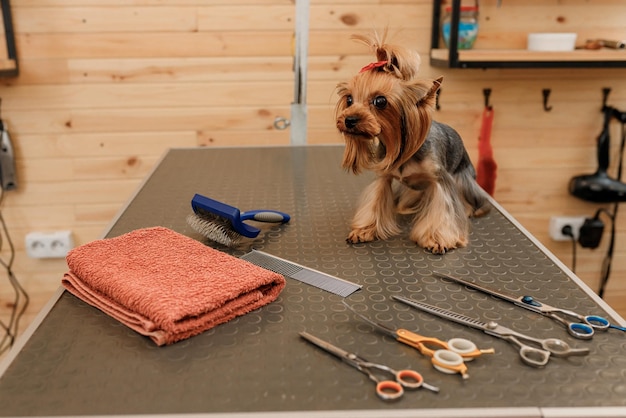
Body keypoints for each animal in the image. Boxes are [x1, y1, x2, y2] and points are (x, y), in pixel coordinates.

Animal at [336, 32, 488, 253]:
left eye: (380, 101)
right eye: (349, 99)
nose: (349, 120)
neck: (399, 145)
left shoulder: (440, 180)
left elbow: (444, 208)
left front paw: (437, 239)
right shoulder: (384, 177)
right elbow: (374, 201)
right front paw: (364, 230)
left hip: (464, 176)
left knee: (469, 196)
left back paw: (473, 209)